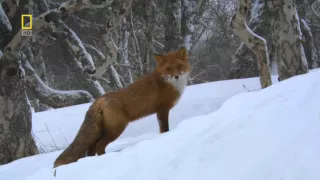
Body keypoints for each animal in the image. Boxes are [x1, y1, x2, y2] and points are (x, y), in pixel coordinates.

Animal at [53, 47, 190, 168]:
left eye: (179, 66)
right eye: (168, 69)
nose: (176, 76)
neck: (169, 83)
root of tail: (99, 100)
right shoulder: (162, 109)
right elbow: (165, 129)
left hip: (102, 131)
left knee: (91, 149)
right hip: (117, 128)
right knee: (99, 146)